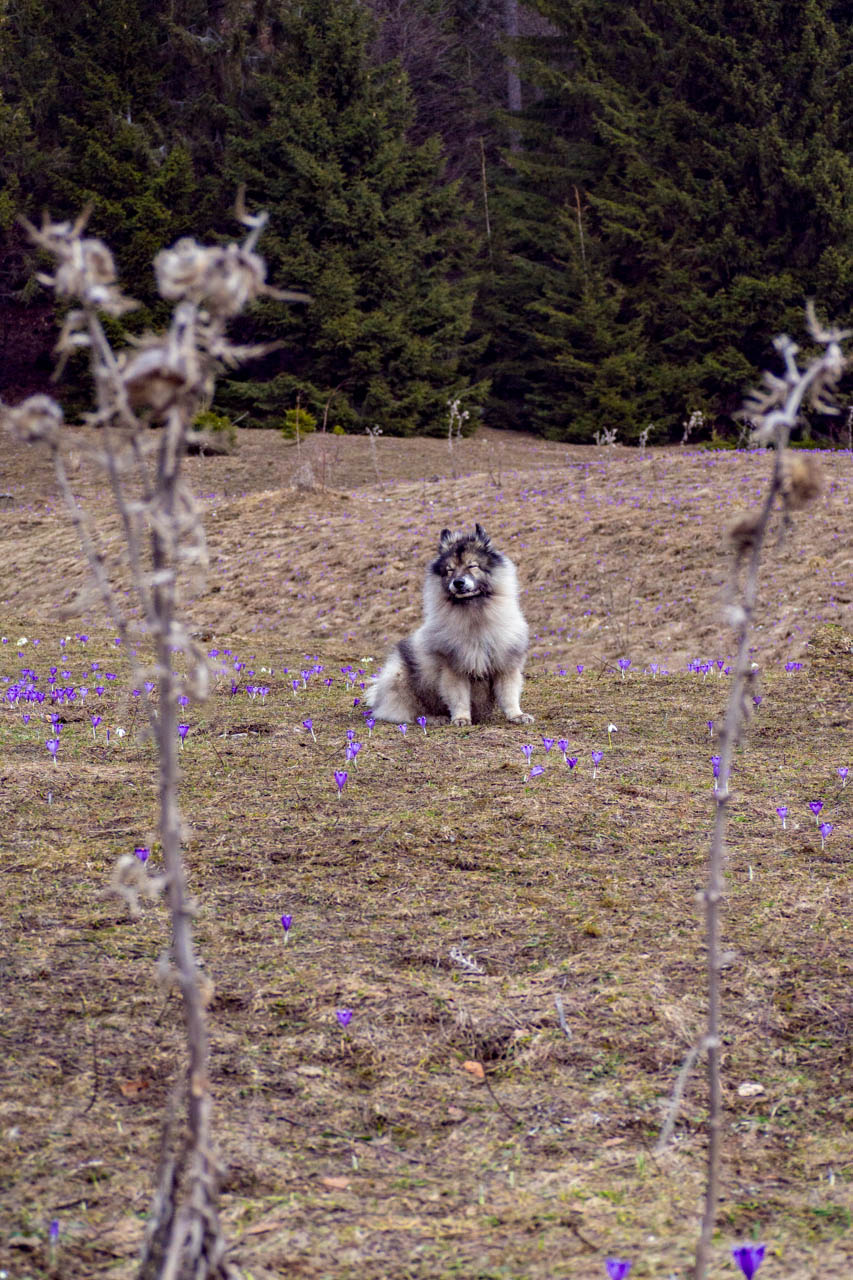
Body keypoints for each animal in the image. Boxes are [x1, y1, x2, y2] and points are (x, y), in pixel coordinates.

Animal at [366, 524, 532, 727]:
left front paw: (517, 715)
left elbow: (509, 695)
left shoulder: (505, 664)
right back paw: (434, 718)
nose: (458, 582)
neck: (475, 615)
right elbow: (459, 697)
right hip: (400, 676)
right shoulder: (454, 667)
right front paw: (461, 718)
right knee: (408, 712)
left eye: (472, 566)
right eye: (450, 570)